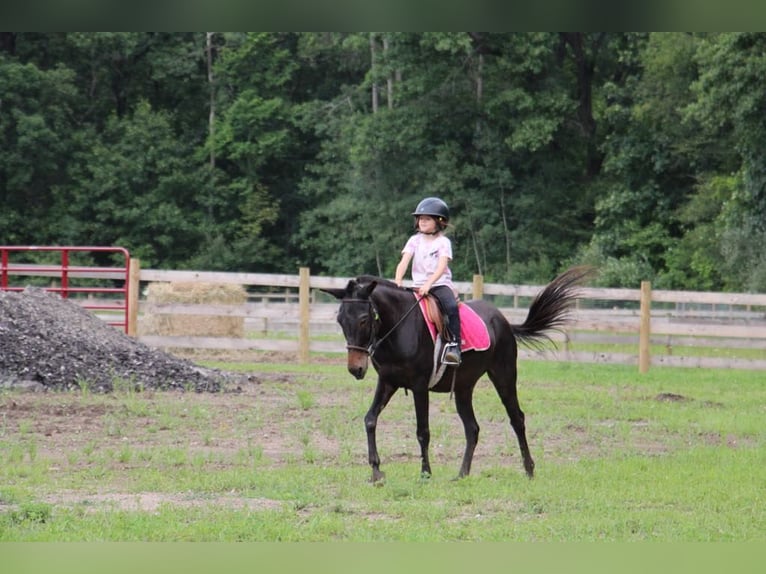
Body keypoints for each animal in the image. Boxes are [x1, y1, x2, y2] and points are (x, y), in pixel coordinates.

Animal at [324, 268, 592, 484]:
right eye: (340, 320)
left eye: (363, 319)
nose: (355, 368)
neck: (398, 327)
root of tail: (503, 320)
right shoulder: (387, 382)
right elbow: (370, 419)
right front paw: (376, 471)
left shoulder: (420, 386)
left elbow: (422, 431)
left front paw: (426, 474)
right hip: (464, 388)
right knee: (472, 428)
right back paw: (462, 474)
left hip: (504, 376)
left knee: (517, 419)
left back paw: (529, 469)